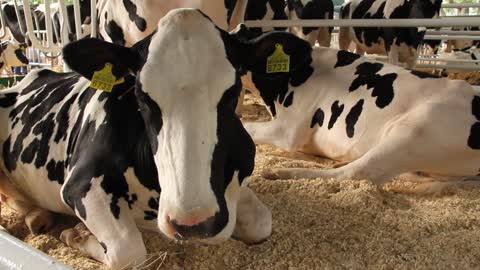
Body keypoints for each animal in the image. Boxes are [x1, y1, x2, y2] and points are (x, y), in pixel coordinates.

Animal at [0, 7, 300, 268]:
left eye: (233, 91)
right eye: (141, 95)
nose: (192, 222)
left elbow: (261, 222)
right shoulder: (81, 184)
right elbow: (128, 251)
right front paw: (76, 234)